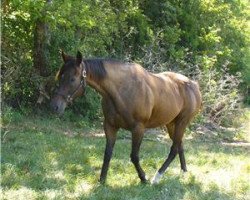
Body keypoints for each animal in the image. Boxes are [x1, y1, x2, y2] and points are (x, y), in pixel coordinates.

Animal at [49, 50, 202, 184]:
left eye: (72, 79)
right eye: (59, 77)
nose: (55, 106)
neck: (123, 90)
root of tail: (194, 85)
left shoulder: (138, 129)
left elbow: (134, 156)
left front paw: (143, 178)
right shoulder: (110, 126)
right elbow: (107, 154)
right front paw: (102, 180)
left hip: (182, 122)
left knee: (174, 149)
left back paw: (157, 177)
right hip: (171, 123)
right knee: (180, 145)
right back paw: (184, 171)